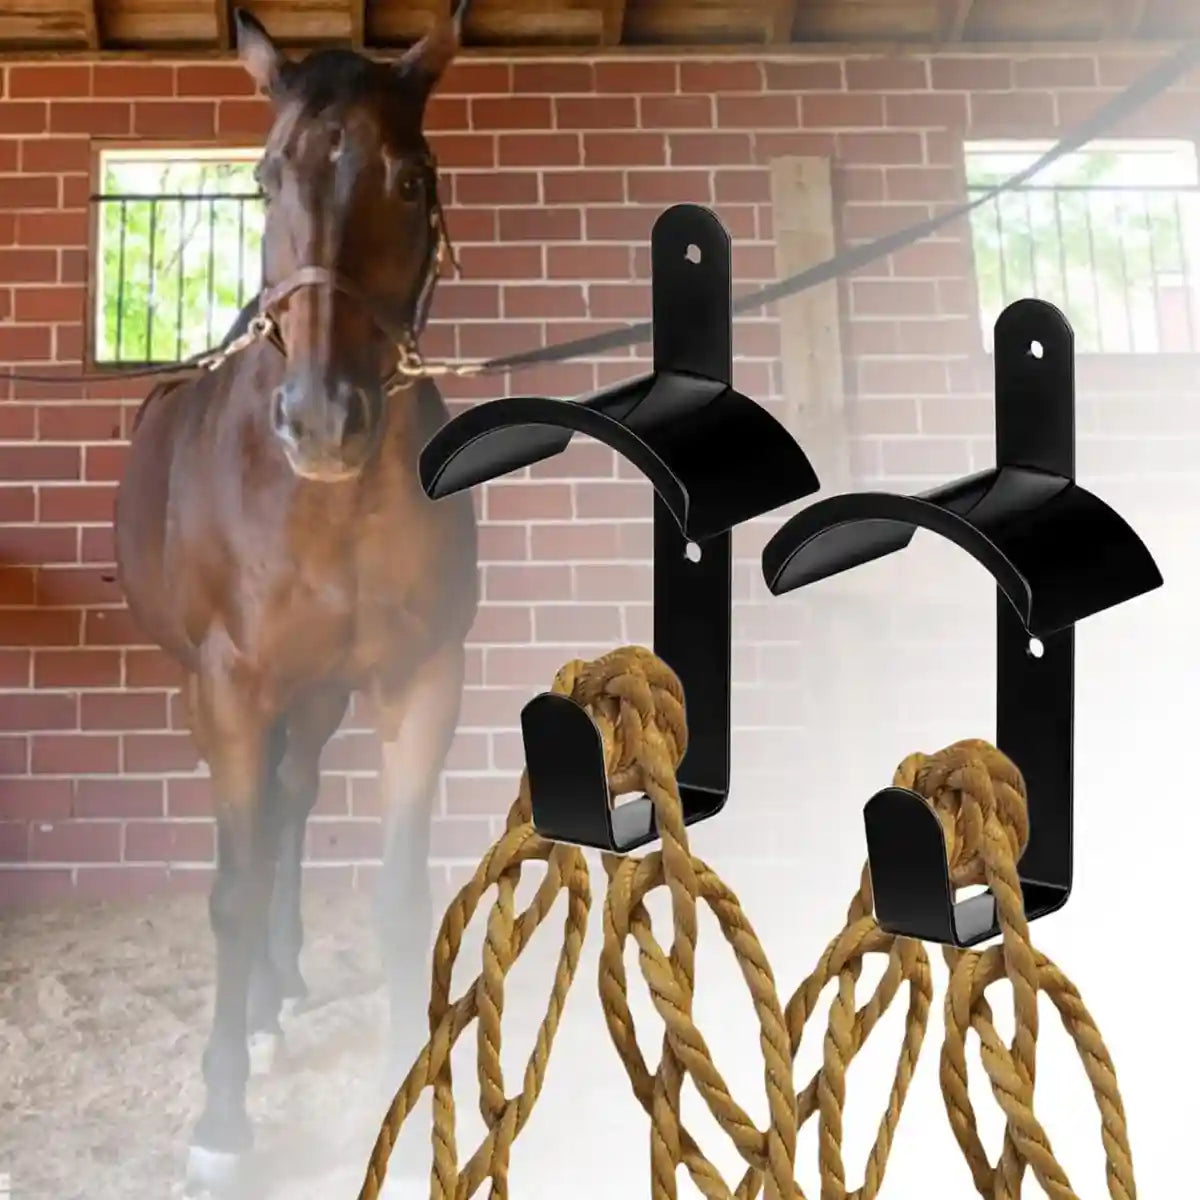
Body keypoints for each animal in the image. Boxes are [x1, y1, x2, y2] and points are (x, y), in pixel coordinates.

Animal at [113, 5, 479, 1191]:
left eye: (410, 180)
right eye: (267, 177)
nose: (322, 419)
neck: (325, 505)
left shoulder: (423, 681)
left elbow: (400, 894)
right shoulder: (229, 687)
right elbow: (230, 888)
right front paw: (221, 1121)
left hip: (318, 699)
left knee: (292, 805)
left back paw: (278, 992)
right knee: (266, 824)